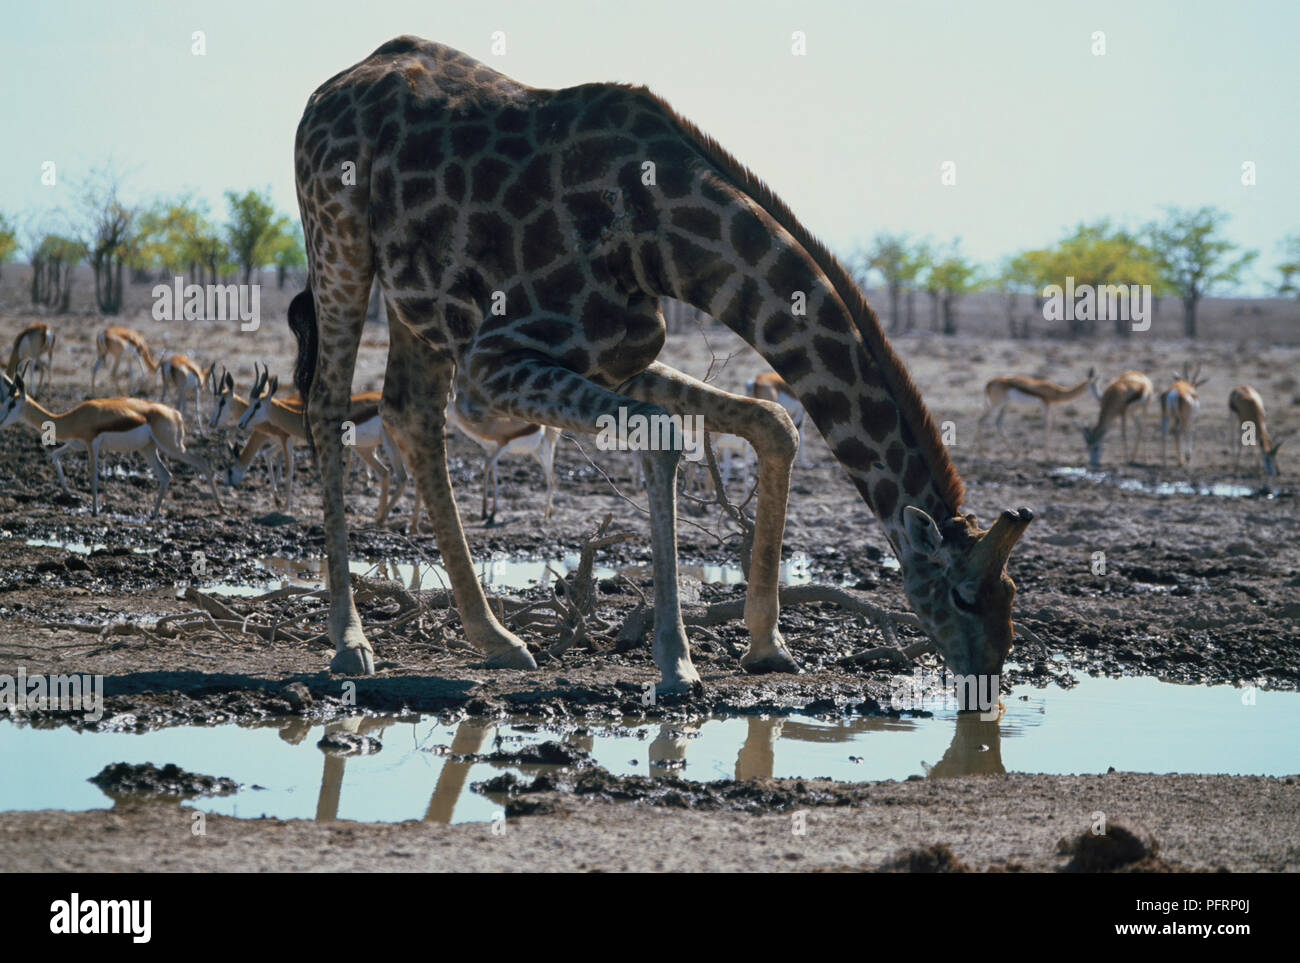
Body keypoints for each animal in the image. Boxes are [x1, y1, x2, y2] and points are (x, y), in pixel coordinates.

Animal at [290, 37, 1032, 699]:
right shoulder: (490, 369)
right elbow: (668, 436)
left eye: (1011, 590)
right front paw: (677, 663)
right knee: (328, 403)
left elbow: (774, 423)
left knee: (410, 413)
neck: (655, 236)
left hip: (414, 303)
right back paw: (350, 642)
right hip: (339, 241)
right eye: (964, 595)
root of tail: (329, 88)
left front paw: (766, 643)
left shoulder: (618, 357)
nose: (986, 680)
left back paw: (495, 637)